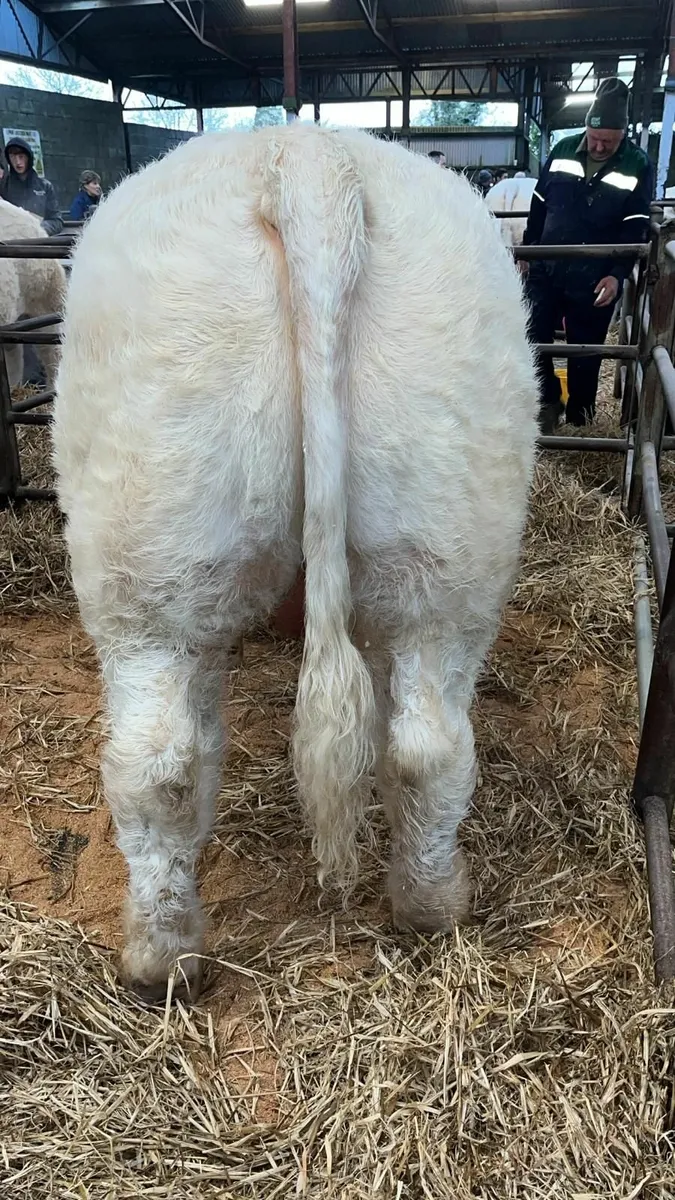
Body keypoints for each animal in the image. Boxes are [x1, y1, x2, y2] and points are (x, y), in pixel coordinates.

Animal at [52, 125, 538, 1002]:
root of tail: (306, 155)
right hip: (433, 549)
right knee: (421, 745)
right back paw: (425, 905)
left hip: (141, 572)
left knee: (156, 761)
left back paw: (158, 956)